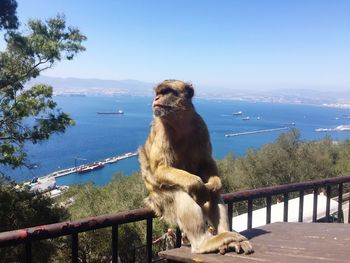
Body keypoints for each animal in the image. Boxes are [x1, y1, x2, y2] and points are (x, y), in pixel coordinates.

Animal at [138, 80, 253, 256]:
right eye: (158, 93)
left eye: (166, 92)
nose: (156, 98)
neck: (180, 122)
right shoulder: (162, 130)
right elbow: (159, 169)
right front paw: (195, 183)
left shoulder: (200, 124)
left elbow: (206, 163)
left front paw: (215, 183)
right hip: (160, 199)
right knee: (180, 195)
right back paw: (203, 243)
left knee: (212, 194)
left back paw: (226, 236)